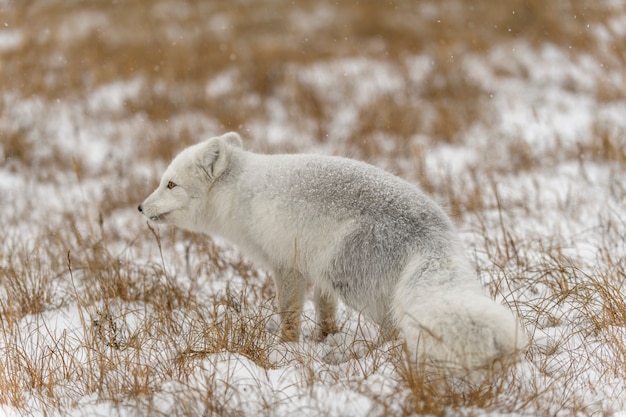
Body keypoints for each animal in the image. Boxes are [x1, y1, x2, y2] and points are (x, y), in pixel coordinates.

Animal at [139, 131, 524, 370]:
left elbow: (289, 312)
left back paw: (371, 356)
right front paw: (324, 339)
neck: (240, 193)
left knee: (392, 328)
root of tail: (434, 232)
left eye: (170, 184)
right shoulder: (312, 269)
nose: (140, 207)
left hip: (348, 278)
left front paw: (286, 346)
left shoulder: (286, 266)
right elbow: (325, 310)